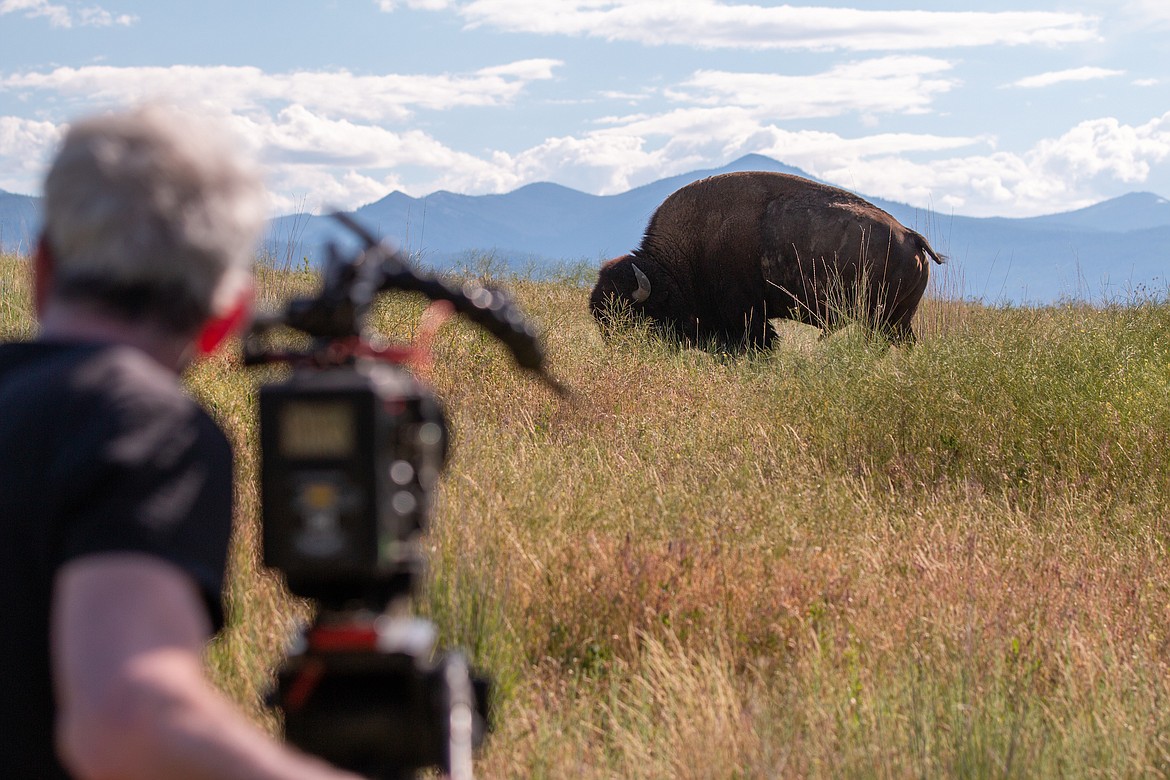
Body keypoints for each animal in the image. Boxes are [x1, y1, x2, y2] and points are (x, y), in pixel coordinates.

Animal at [589, 173, 945, 350]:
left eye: (632, 316)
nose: (620, 352)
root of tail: (911, 236)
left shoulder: (748, 316)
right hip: (897, 321)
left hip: (884, 320)